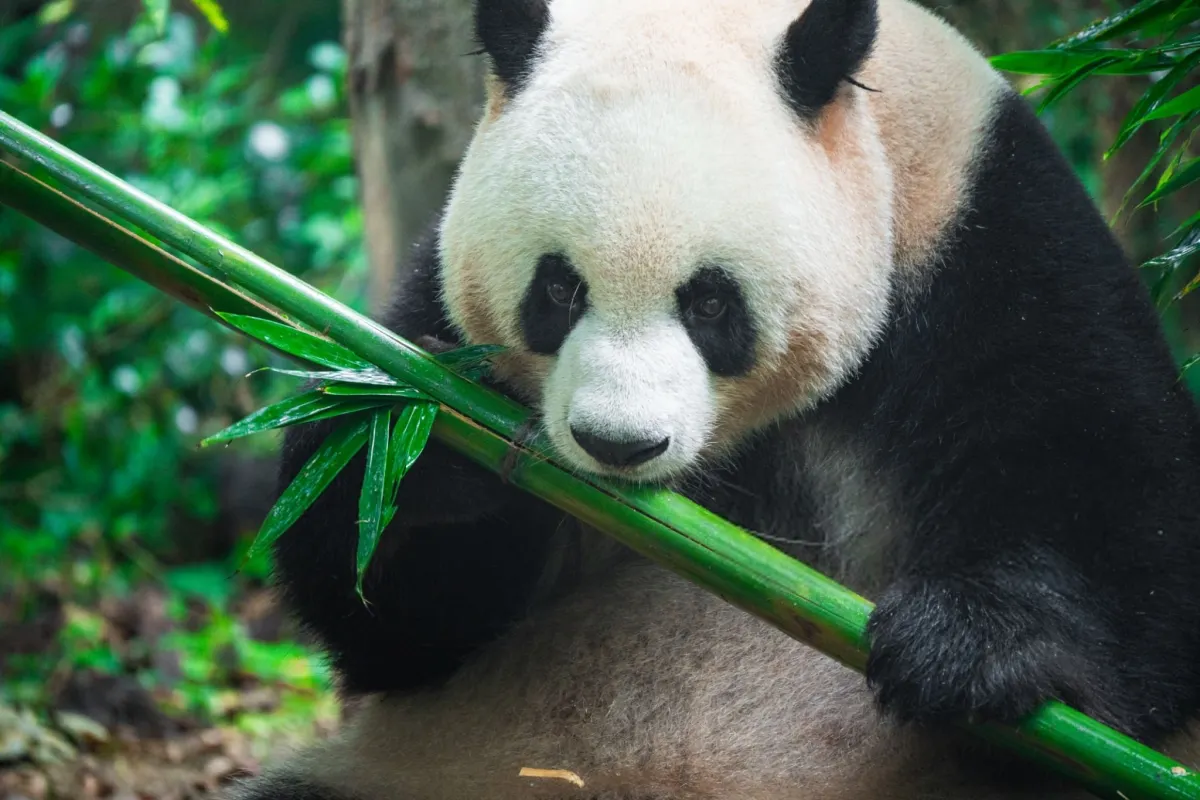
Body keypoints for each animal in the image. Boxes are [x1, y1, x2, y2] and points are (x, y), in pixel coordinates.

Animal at [227, 0, 1200, 797]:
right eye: (557, 290)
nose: (617, 445)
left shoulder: (984, 233)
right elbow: (389, 617)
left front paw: (967, 646)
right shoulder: (435, 295)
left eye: (710, 302)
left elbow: (1118, 509)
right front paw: (431, 447)